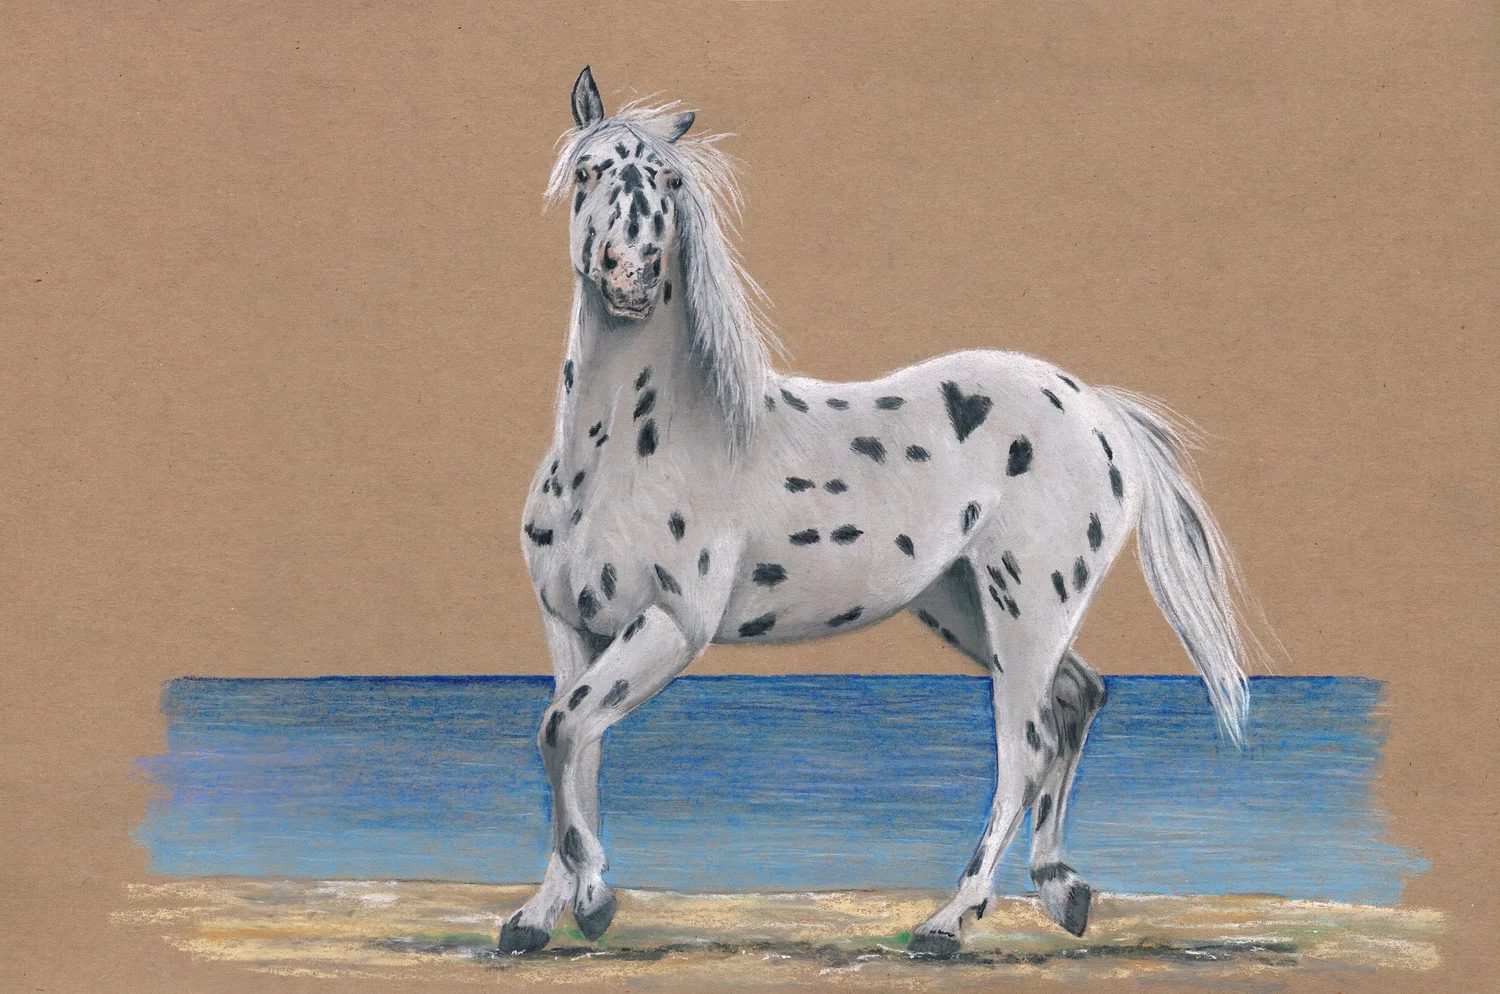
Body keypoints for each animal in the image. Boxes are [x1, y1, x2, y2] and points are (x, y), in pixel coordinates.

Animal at [505, 66, 1268, 958]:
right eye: (586, 171)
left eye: (670, 182)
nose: (631, 269)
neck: (624, 451)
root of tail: (1098, 407)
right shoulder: (574, 624)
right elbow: (575, 748)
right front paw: (542, 914)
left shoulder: (670, 623)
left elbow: (562, 731)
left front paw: (591, 899)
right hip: (965, 603)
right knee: (1078, 695)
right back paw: (1061, 889)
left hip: (1028, 605)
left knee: (1025, 746)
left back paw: (948, 922)